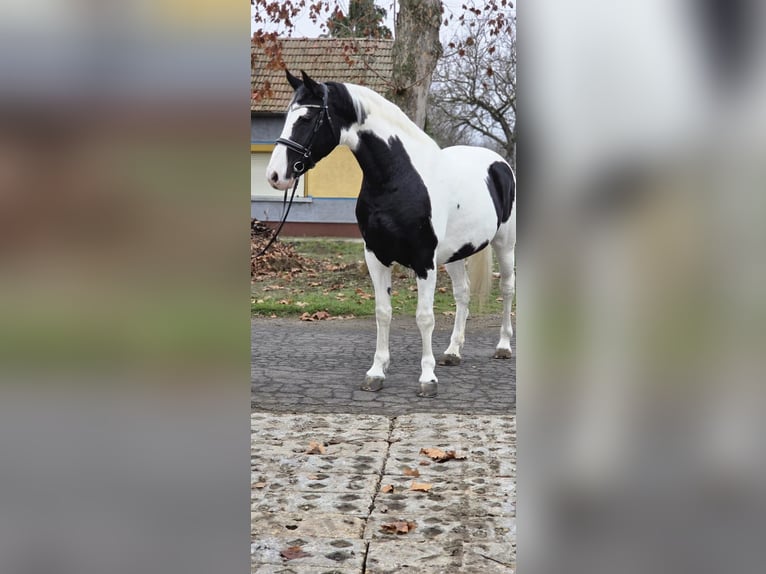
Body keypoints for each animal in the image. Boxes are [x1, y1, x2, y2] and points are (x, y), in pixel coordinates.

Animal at [266, 70, 516, 397]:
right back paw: (453, 352)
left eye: (307, 117)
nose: (275, 176)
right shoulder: (376, 256)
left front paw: (427, 378)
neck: (398, 179)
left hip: (505, 244)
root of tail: (498, 163)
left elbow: (424, 317)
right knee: (462, 294)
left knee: (507, 289)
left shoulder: (424, 261)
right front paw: (376, 372)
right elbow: (382, 312)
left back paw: (503, 346)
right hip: (455, 254)